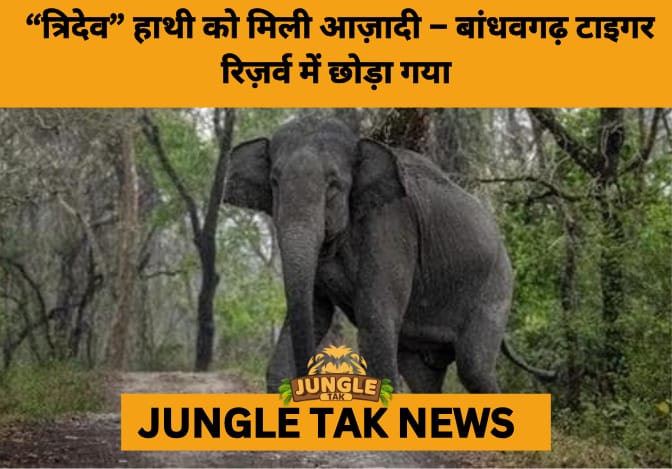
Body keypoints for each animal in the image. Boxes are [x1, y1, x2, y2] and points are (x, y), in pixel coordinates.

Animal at [223, 117, 555, 393]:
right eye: (274, 182)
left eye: (334, 185)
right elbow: (314, 313)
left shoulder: (390, 229)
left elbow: (375, 322)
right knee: (422, 374)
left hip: (496, 288)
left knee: (474, 368)